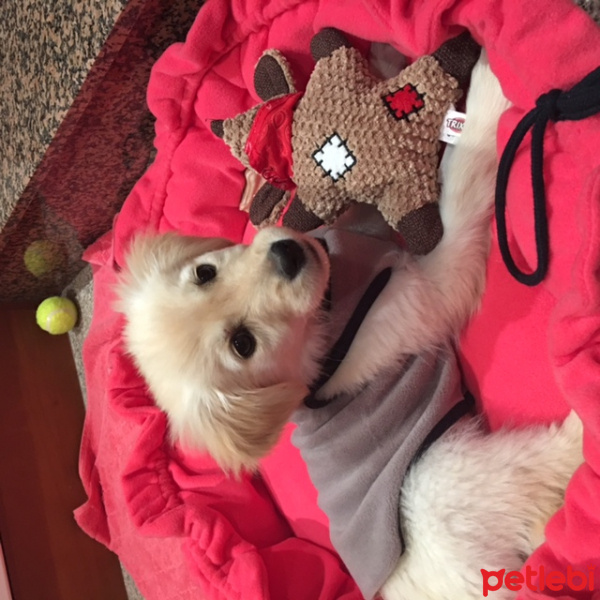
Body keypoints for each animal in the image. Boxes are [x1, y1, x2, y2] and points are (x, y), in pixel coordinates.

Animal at [116, 52, 580, 600]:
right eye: (242, 343)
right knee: (548, 471)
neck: (330, 304)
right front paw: (486, 93)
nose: (288, 253)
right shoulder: (426, 291)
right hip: (455, 477)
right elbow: (460, 186)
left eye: (204, 272)